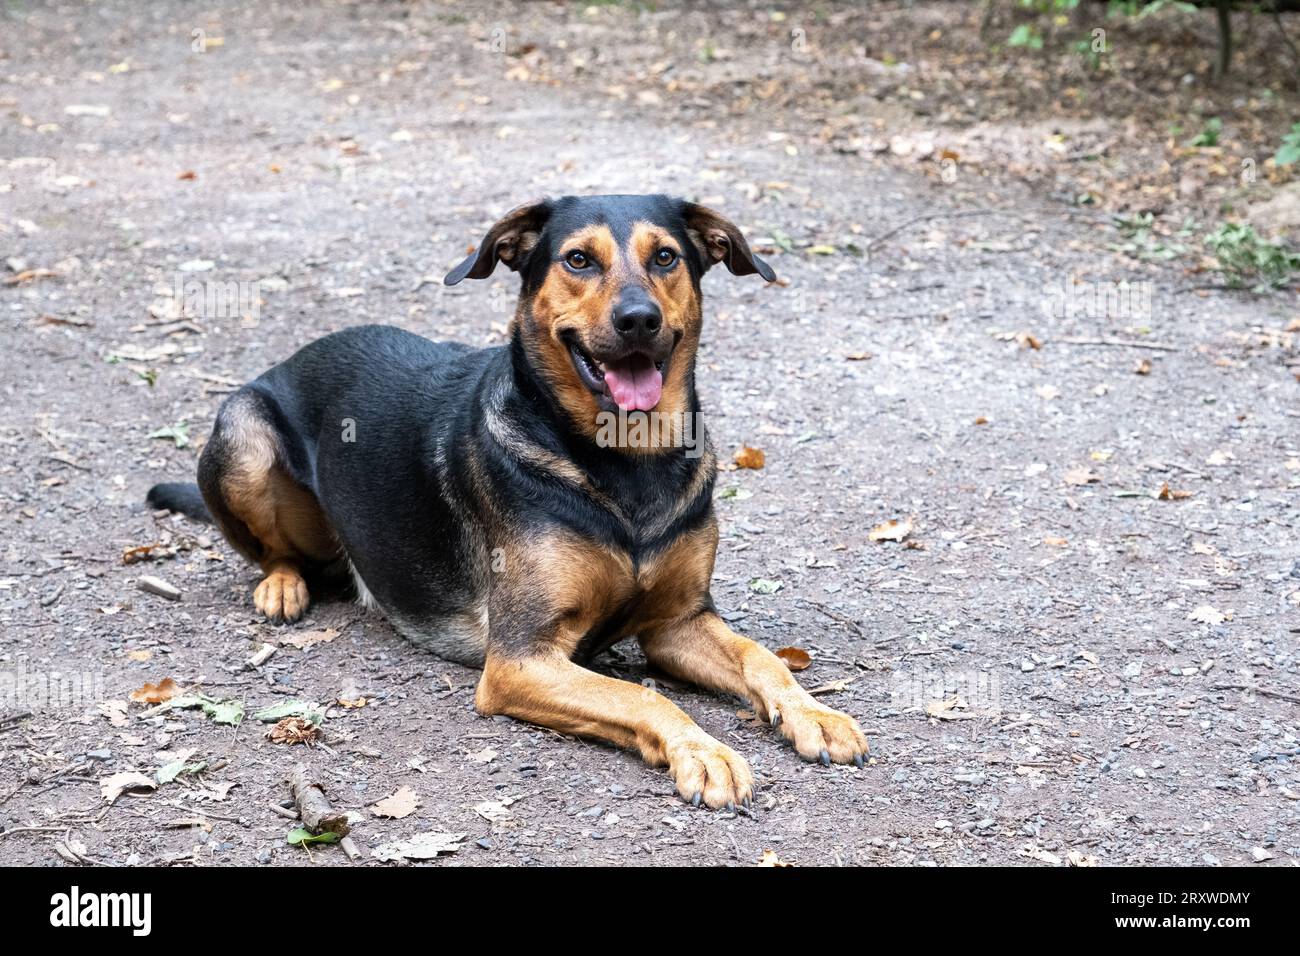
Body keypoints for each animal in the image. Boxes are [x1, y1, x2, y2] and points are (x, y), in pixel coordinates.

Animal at [147, 195, 868, 806]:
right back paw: (282, 585)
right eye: (578, 259)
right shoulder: (521, 659)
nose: (639, 319)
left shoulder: (679, 623)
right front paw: (703, 751)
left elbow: (762, 659)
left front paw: (814, 712)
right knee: (275, 551)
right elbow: (642, 698)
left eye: (666, 256)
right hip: (241, 433)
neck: (627, 463)